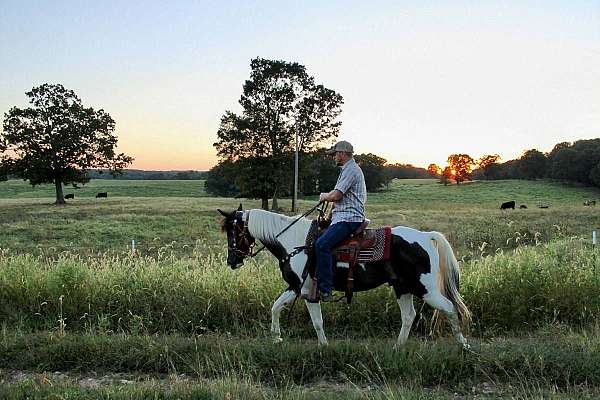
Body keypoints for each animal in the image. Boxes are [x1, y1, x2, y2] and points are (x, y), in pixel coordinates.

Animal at [218, 206, 472, 346]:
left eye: (233, 231)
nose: (232, 261)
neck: (294, 242)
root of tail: (426, 236)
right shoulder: (295, 288)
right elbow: (275, 307)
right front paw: (276, 338)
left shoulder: (306, 290)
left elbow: (316, 321)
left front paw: (323, 346)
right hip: (402, 287)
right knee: (409, 316)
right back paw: (398, 347)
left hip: (425, 289)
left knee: (450, 308)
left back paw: (464, 346)